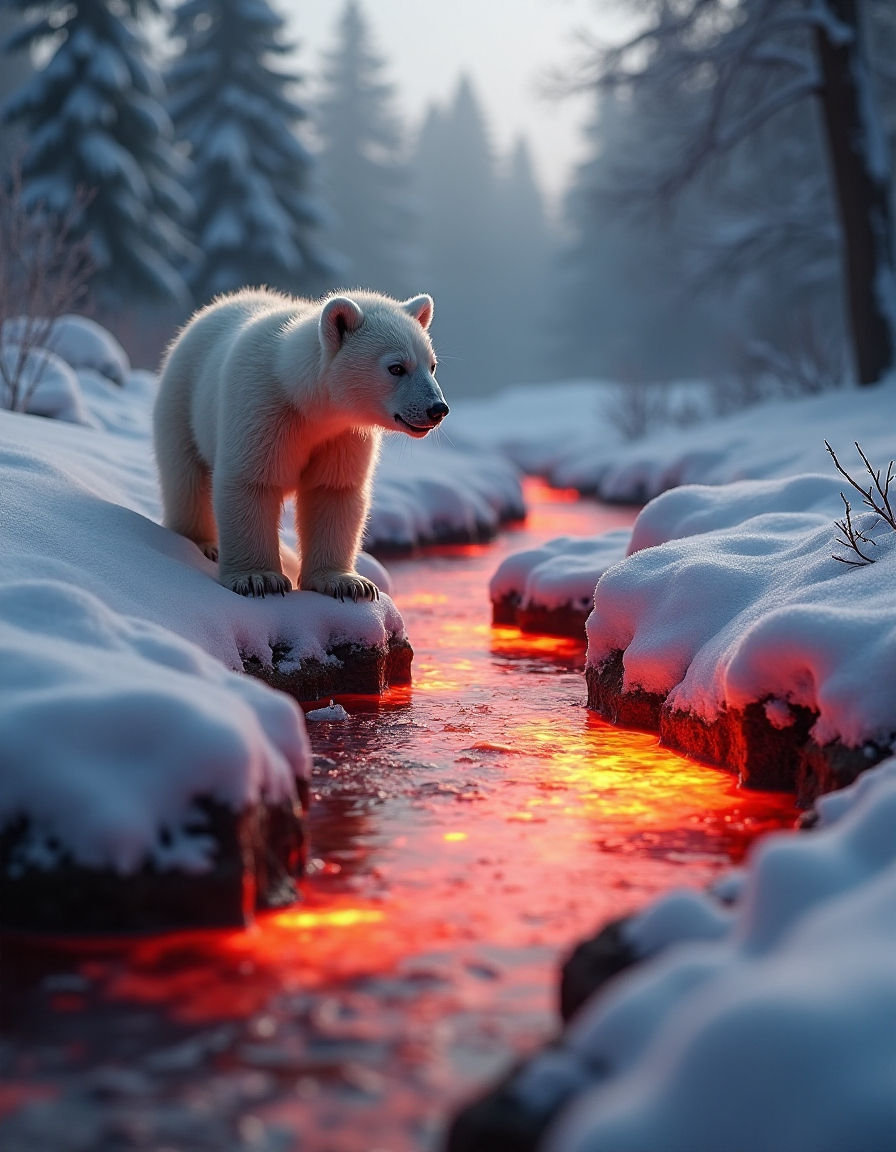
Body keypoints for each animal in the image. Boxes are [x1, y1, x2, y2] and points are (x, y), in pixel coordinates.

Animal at [153, 288, 447, 599]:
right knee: (186, 479)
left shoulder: (341, 435)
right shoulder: (261, 408)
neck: (303, 397)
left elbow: (332, 490)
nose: (437, 409)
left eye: (432, 365)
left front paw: (348, 583)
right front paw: (259, 579)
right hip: (182, 401)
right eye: (396, 367)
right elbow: (251, 481)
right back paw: (204, 543)